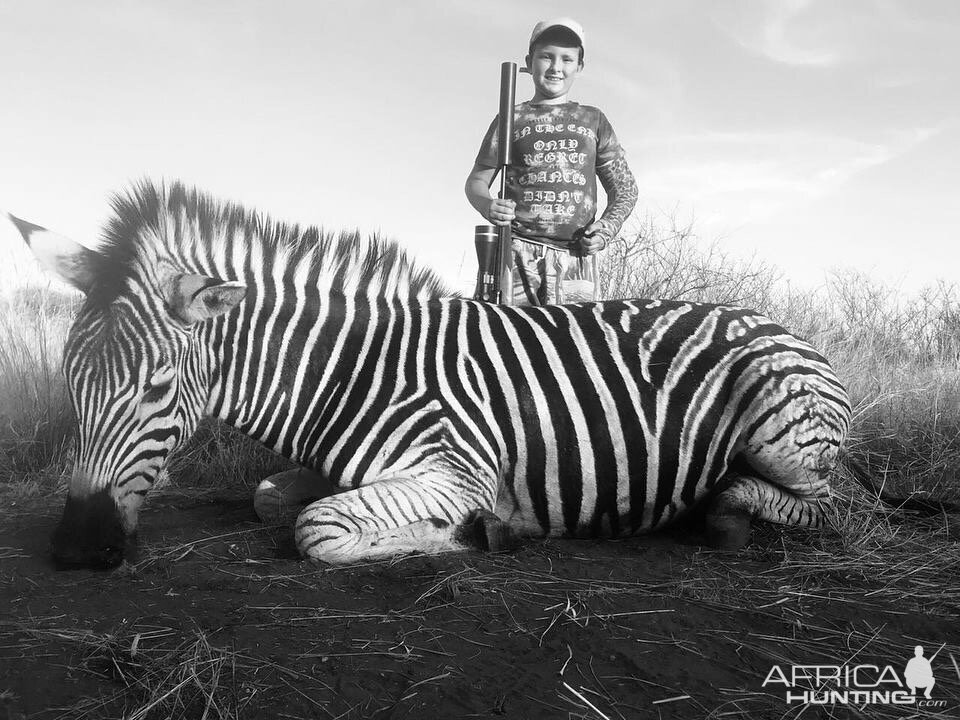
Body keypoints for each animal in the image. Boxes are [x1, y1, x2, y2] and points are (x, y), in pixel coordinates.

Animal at [11, 180, 852, 568]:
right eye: (71, 378)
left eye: (156, 386)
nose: (78, 549)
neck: (348, 372)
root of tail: (786, 328)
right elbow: (269, 497)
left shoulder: (456, 469)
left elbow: (317, 527)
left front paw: (478, 532)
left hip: (781, 432)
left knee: (825, 505)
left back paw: (724, 509)